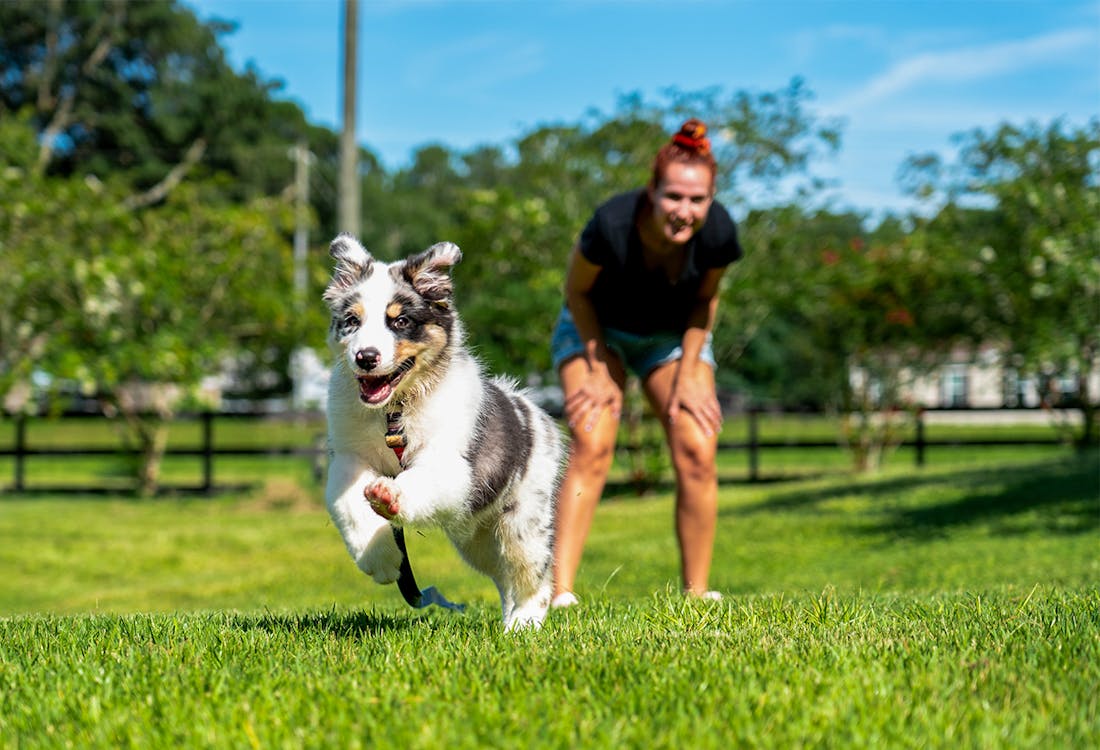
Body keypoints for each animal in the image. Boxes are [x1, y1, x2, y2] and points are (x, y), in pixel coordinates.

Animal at [321, 230, 563, 629]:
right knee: (502, 577)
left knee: (532, 574)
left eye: (401, 322)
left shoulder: (452, 464)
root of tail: (534, 413)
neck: (395, 410)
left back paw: (523, 625)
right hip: (477, 537)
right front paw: (382, 560)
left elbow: (420, 480)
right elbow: (348, 502)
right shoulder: (348, 457)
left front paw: (390, 497)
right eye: (352, 321)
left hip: (522, 520)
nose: (365, 357)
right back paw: (509, 620)